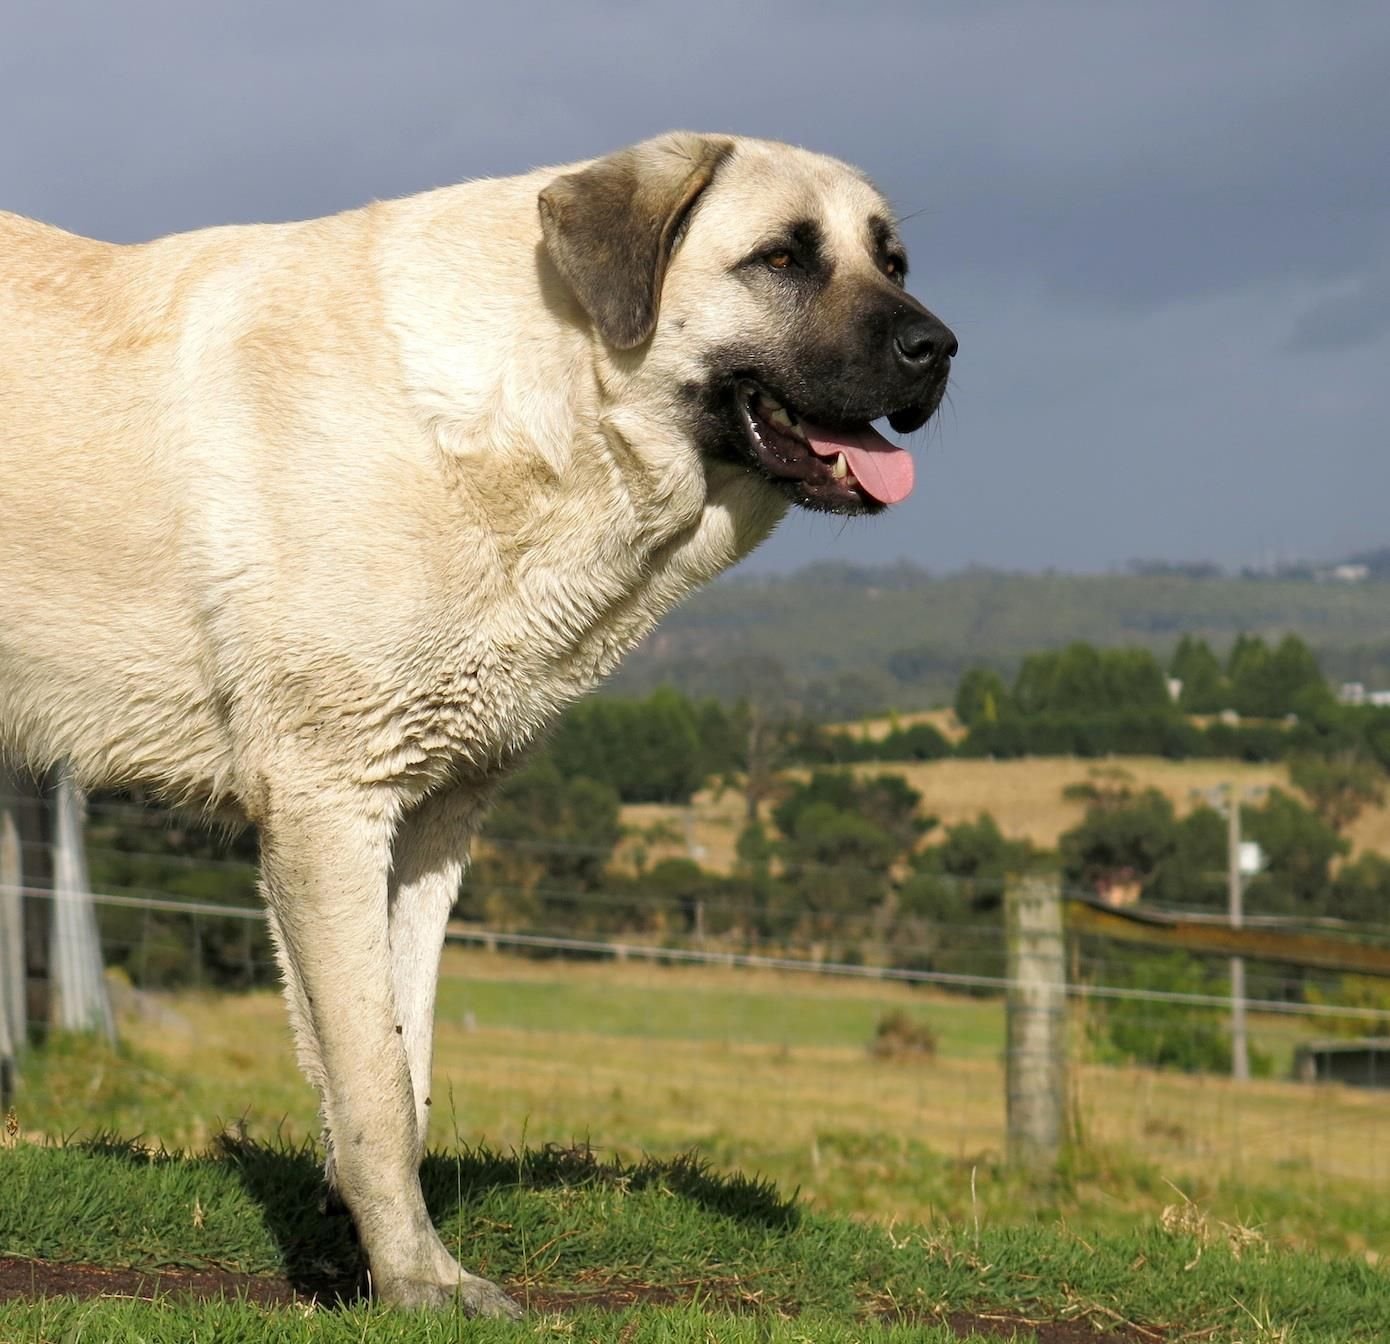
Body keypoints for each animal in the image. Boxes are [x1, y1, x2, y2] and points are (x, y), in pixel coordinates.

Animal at [0, 134, 956, 1312]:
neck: (543, 401)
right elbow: (370, 1080)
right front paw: (420, 1283)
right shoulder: (329, 807)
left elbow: (395, 1073)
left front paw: (367, 1252)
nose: (939, 348)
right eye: (782, 258)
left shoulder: (423, 828)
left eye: (893, 261)